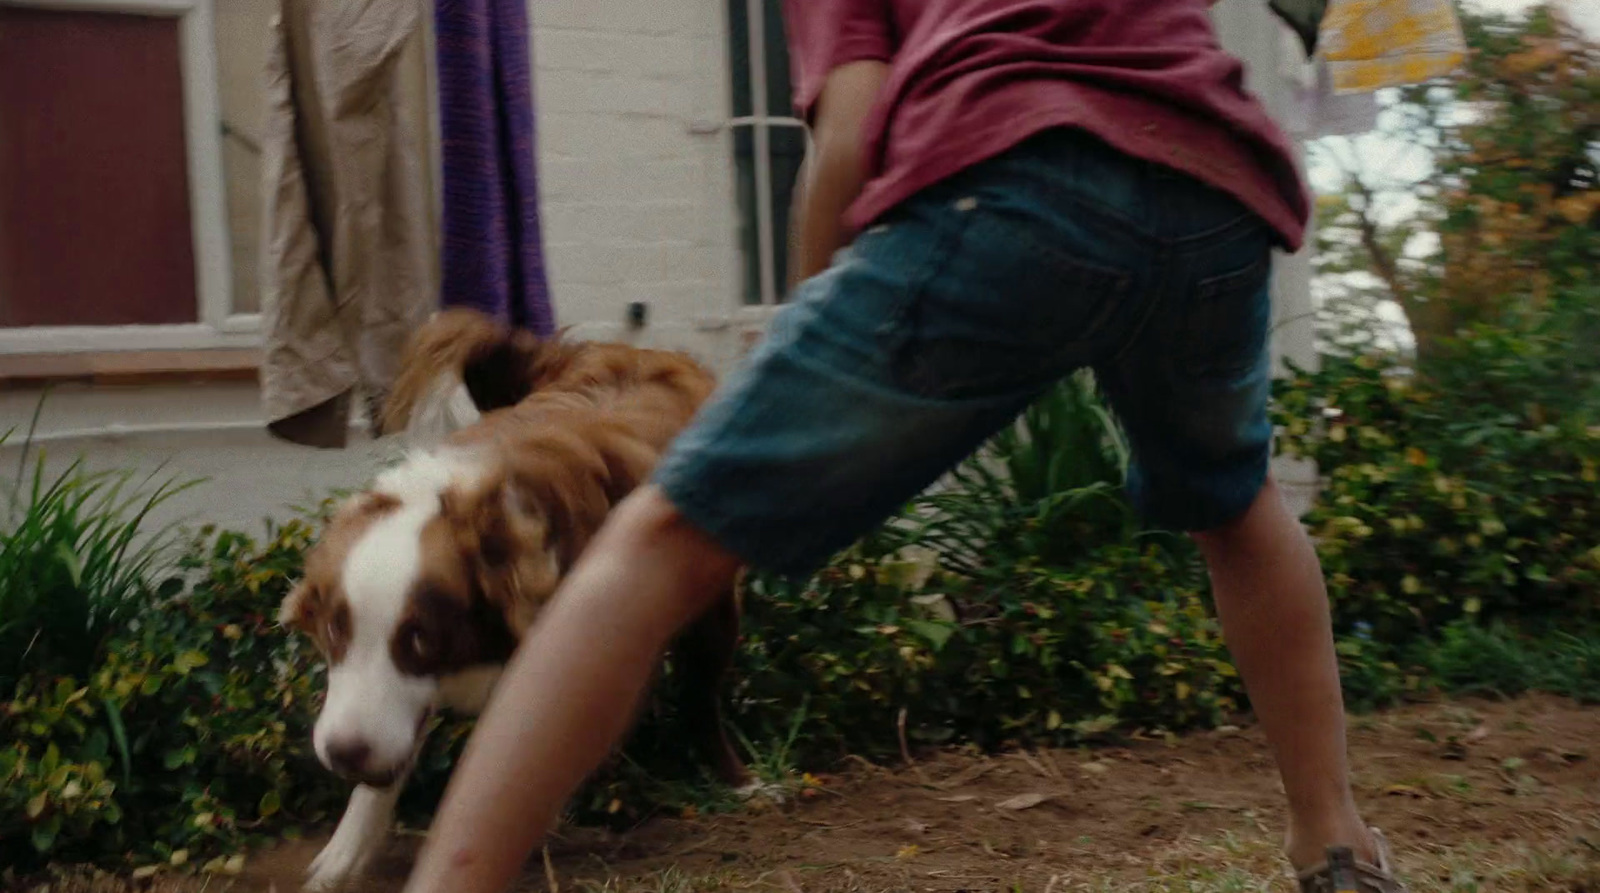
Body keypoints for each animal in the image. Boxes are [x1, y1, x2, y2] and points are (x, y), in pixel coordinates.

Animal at [280, 312, 742, 889]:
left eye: (420, 639)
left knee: (703, 691)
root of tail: (647, 353)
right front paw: (343, 856)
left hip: (713, 605)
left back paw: (738, 779)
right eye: (335, 631)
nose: (343, 754)